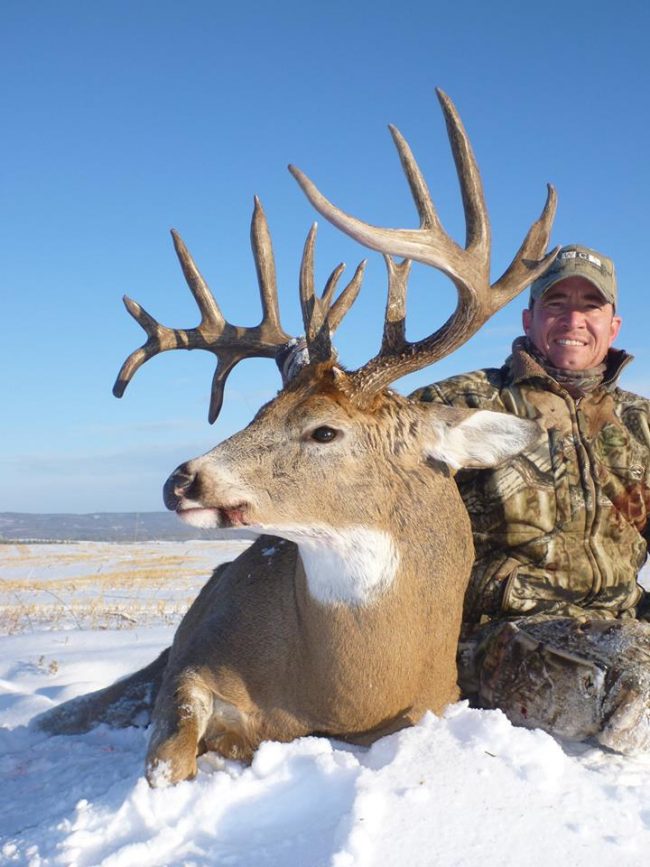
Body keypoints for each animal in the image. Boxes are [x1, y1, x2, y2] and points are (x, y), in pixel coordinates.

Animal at [37, 90, 557, 786]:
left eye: (324, 430)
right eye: (258, 409)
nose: (181, 480)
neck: (343, 686)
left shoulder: (434, 700)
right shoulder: (194, 658)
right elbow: (166, 761)